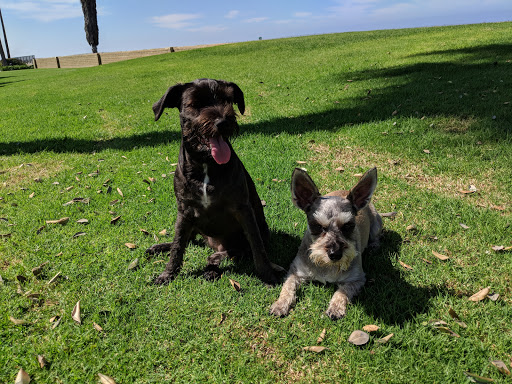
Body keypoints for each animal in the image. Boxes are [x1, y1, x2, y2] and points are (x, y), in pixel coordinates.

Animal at [146, 78, 282, 284]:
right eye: (195, 103)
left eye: (228, 100)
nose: (223, 122)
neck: (206, 165)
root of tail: (214, 244)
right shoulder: (184, 211)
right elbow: (178, 246)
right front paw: (167, 274)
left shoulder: (243, 209)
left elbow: (256, 246)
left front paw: (267, 275)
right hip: (193, 223)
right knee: (186, 240)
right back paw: (160, 247)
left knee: (236, 252)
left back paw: (213, 264)